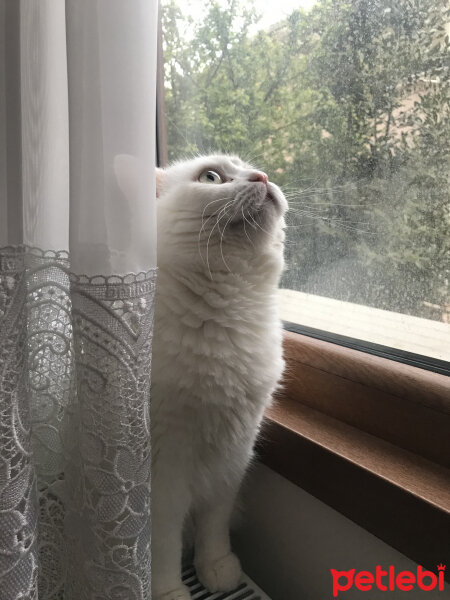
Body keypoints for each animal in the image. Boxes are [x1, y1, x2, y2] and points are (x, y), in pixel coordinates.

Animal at [149, 156, 286, 600]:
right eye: (211, 177)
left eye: (253, 169)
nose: (264, 177)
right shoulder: (166, 472)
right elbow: (164, 544)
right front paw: (169, 591)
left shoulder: (232, 458)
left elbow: (214, 526)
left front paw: (216, 569)